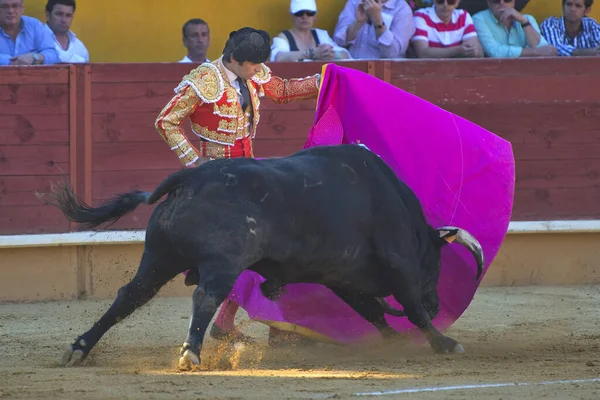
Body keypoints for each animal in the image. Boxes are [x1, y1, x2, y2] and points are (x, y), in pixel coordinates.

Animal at [39, 144, 486, 368]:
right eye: (435, 263)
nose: (438, 301)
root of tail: (191, 177)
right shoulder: (398, 263)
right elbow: (410, 307)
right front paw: (444, 344)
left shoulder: (342, 277)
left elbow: (373, 311)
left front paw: (393, 343)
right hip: (221, 263)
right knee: (205, 296)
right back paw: (191, 354)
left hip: (159, 258)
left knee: (128, 297)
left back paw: (79, 348)